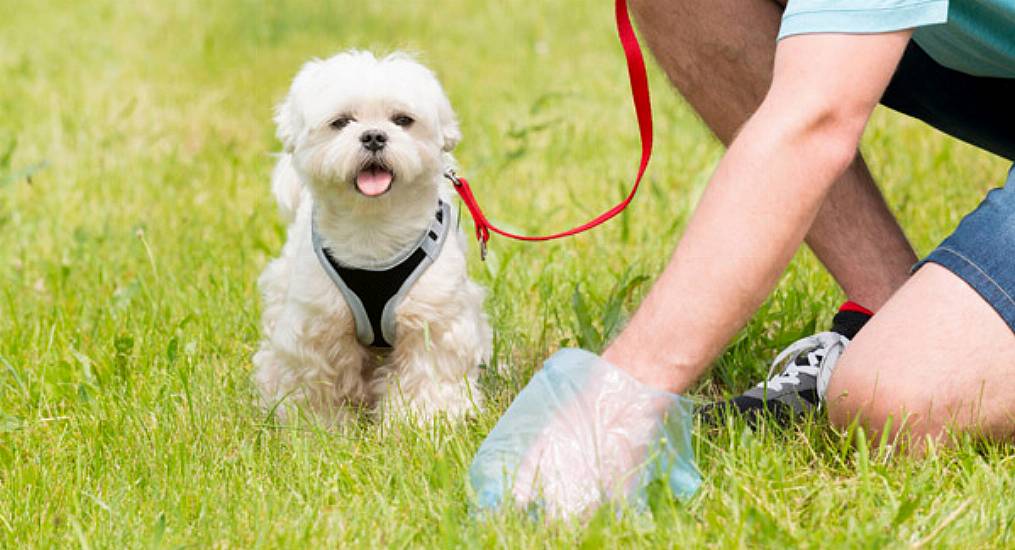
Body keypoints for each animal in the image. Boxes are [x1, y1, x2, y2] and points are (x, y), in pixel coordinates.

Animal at [253, 50, 491, 426]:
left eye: (402, 120)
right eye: (341, 122)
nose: (374, 136)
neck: (373, 230)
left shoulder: (433, 317)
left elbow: (428, 372)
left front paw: (423, 421)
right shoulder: (318, 324)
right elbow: (317, 378)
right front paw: (320, 425)